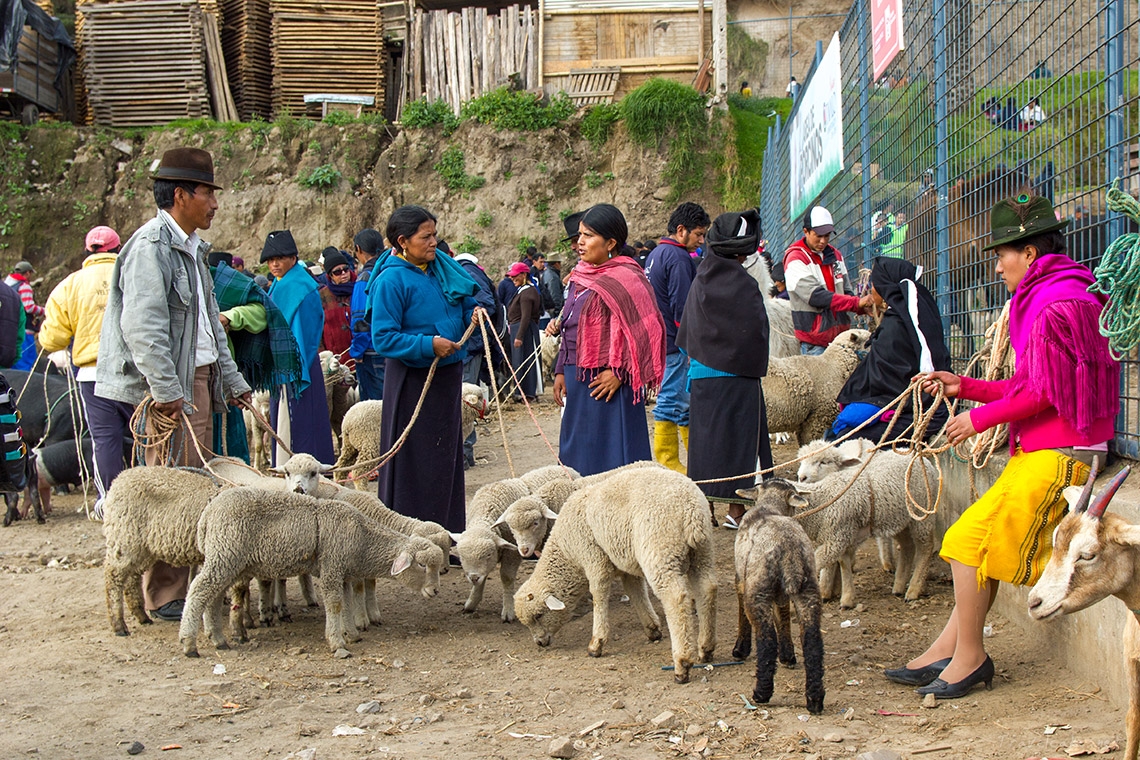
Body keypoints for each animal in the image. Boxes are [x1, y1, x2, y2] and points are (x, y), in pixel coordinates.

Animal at [180, 487, 442, 660]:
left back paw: (218, 638)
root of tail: (207, 514)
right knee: (198, 590)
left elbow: (346, 602)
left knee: (213, 596)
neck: (363, 539)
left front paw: (352, 634)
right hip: (225, 553)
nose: (435, 590)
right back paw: (189, 643)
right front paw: (337, 642)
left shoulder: (342, 572)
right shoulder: (331, 567)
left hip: (230, 561)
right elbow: (335, 604)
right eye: (421, 565)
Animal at [515, 467, 715, 688]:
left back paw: (682, 664)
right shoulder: (626, 564)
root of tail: (691, 509)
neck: (567, 553)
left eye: (539, 615)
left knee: (676, 599)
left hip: (660, 550)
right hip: (702, 551)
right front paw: (652, 629)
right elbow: (636, 593)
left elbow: (599, 595)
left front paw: (596, 643)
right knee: (707, 588)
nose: (540, 643)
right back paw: (706, 648)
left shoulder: (594, 560)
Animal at [734, 478, 825, 715]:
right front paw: (788, 656)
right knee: (812, 641)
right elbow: (783, 617)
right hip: (809, 590)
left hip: (757, 592)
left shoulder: (741, 580)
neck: (770, 507)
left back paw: (761, 693)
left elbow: (742, 614)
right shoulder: (783, 595)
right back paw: (815, 699)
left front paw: (740, 649)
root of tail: (789, 548)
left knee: (767, 640)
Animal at [788, 448, 939, 610]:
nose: (802, 477)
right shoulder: (842, 536)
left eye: (824, 462)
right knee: (908, 546)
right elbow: (844, 563)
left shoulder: (837, 539)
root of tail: (918, 456)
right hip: (899, 519)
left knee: (925, 547)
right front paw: (847, 597)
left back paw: (913, 589)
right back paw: (898, 586)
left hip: (921, 512)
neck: (823, 499)